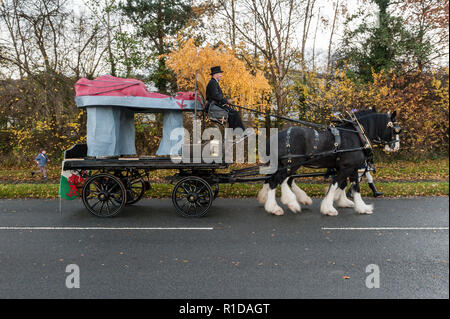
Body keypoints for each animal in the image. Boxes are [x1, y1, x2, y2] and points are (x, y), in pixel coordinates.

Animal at [258, 109, 402, 218]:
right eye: (396, 130)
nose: (396, 147)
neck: (356, 135)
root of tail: (274, 137)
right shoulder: (347, 167)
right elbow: (335, 184)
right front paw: (328, 208)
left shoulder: (352, 168)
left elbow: (354, 187)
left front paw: (360, 207)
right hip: (291, 164)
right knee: (275, 180)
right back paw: (275, 207)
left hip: (287, 165)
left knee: (279, 179)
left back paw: (292, 201)